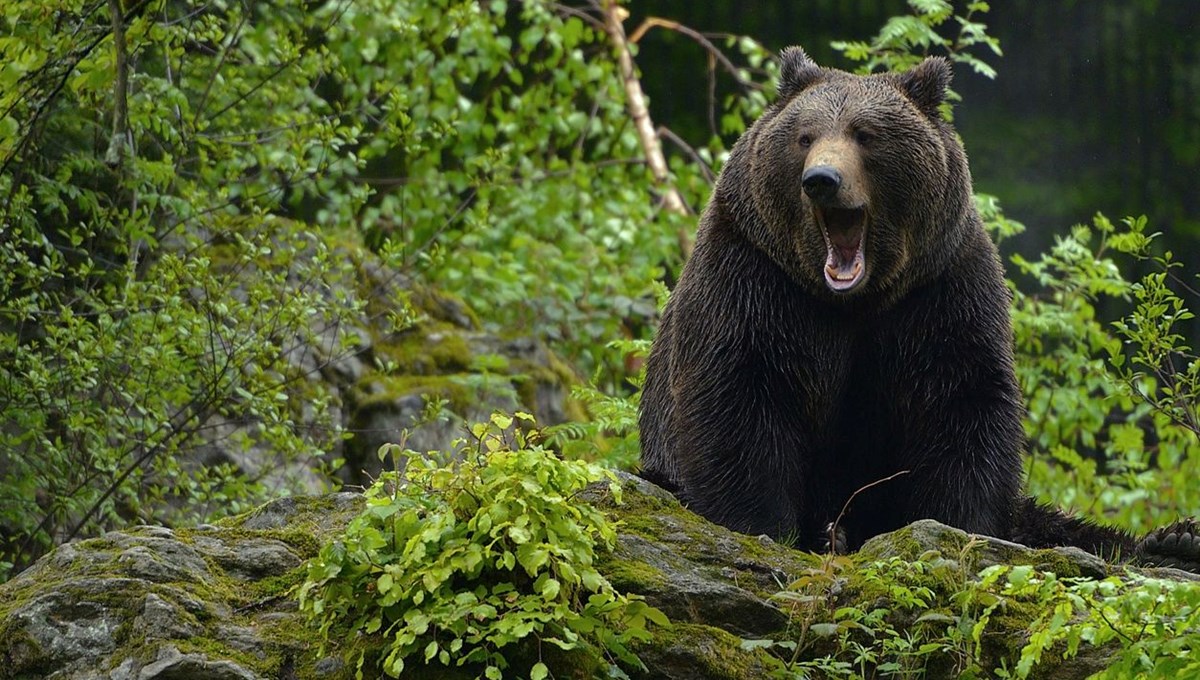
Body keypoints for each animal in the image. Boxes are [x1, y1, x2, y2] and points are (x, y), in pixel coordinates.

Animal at [643, 46, 1200, 568]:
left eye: (865, 134)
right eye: (804, 136)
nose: (821, 178)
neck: (855, 301)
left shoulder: (940, 291)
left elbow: (960, 401)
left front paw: (955, 527)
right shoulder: (755, 274)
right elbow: (740, 389)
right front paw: (763, 526)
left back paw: (1174, 540)